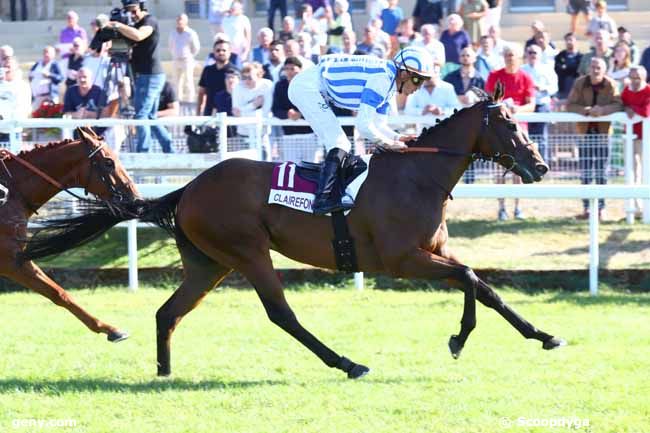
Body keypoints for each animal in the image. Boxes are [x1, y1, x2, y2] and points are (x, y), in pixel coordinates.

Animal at [4, 126, 138, 342]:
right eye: (109, 162)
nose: (135, 197)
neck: (9, 194)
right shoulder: (10, 260)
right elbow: (57, 292)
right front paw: (109, 328)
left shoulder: (16, 258)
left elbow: (57, 292)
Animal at [24, 84, 560, 374]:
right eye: (509, 125)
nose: (540, 166)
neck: (417, 176)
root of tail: (189, 188)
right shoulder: (403, 260)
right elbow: (470, 278)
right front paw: (459, 339)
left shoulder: (431, 255)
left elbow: (483, 286)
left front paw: (543, 335)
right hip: (248, 252)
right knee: (282, 314)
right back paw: (348, 363)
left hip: (209, 264)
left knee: (167, 313)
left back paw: (164, 372)